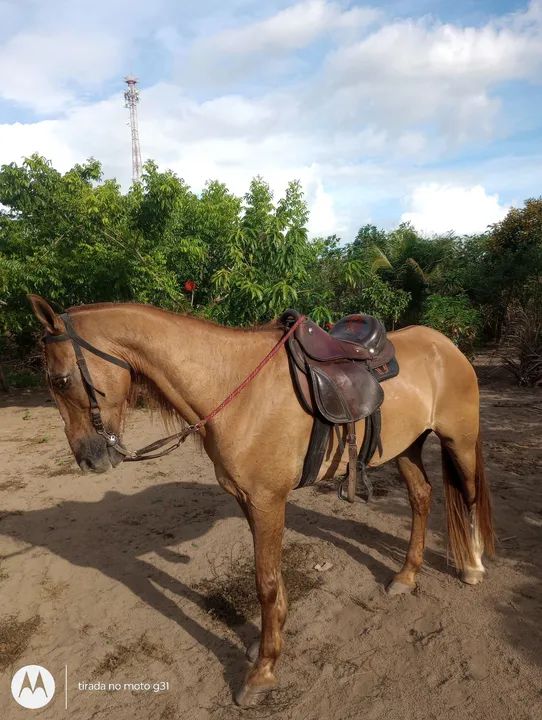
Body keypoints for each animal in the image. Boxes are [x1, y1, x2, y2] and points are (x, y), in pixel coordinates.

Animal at [29, 295, 494, 706]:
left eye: (61, 380)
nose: (89, 459)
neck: (232, 385)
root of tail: (445, 345)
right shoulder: (248, 500)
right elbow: (269, 583)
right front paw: (264, 643)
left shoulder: (268, 500)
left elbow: (266, 583)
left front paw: (263, 672)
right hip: (408, 448)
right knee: (421, 498)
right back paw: (406, 576)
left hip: (459, 440)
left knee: (469, 497)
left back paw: (472, 566)